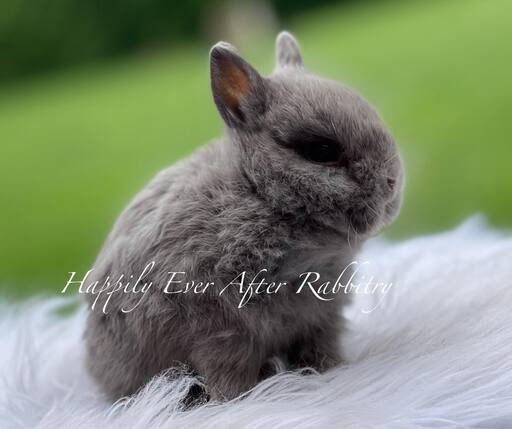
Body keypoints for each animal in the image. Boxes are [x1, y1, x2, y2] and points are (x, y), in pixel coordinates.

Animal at [84, 30, 404, 402]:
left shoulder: (321, 318)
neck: (257, 193)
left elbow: (320, 350)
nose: (392, 183)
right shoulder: (220, 329)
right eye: (321, 150)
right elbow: (228, 372)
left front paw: (331, 371)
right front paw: (238, 399)